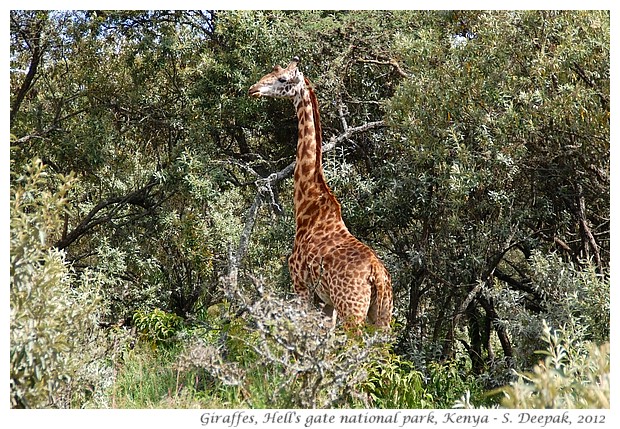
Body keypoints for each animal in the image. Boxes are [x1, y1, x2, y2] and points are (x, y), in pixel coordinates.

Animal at [247, 54, 392, 328]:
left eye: (282, 79)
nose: (254, 89)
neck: (309, 205)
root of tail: (376, 275)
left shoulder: (301, 285)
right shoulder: (327, 303)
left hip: (352, 312)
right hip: (382, 317)